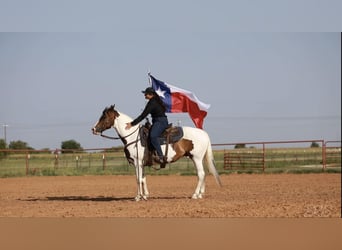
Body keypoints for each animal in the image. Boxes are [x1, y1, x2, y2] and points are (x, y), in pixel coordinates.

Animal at [92, 104, 222, 200]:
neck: (133, 136)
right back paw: (200, 194)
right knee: (203, 174)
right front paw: (145, 195)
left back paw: (195, 195)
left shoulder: (137, 162)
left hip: (197, 158)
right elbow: (143, 178)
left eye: (104, 117)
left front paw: (138, 197)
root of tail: (203, 133)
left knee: (201, 174)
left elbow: (138, 179)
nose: (93, 129)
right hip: (196, 158)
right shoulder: (141, 163)